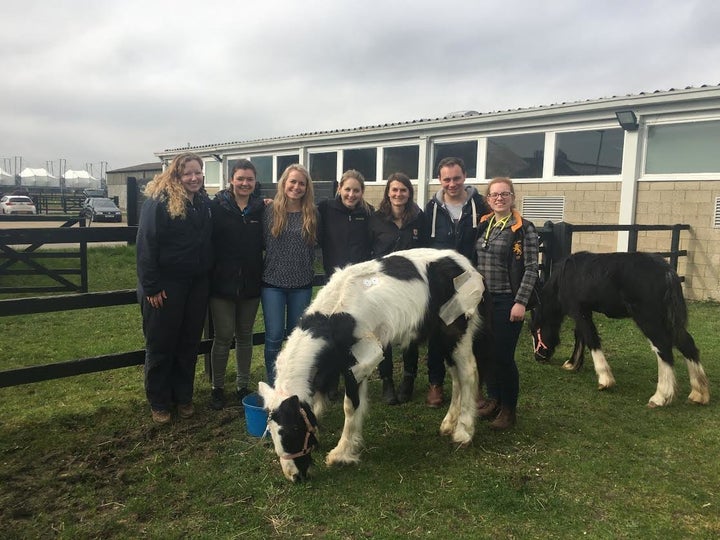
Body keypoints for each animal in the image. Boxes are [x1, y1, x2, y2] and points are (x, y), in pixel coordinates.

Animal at [256, 248, 492, 480]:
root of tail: (467, 265)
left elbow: (350, 406)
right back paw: (448, 424)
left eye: (292, 430)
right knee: (456, 375)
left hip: (456, 332)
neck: (335, 317)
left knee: (468, 373)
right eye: (271, 431)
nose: (294, 476)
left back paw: (463, 433)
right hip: (441, 337)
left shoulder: (359, 362)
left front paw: (341, 454)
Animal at [528, 251, 708, 408]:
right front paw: (572, 364)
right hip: (668, 320)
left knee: (663, 348)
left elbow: (590, 338)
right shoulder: (584, 311)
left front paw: (604, 379)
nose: (538, 357)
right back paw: (699, 393)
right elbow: (581, 336)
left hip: (649, 319)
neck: (565, 276)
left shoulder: (578, 311)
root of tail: (667, 273)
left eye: (534, 331)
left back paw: (660, 397)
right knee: (687, 345)